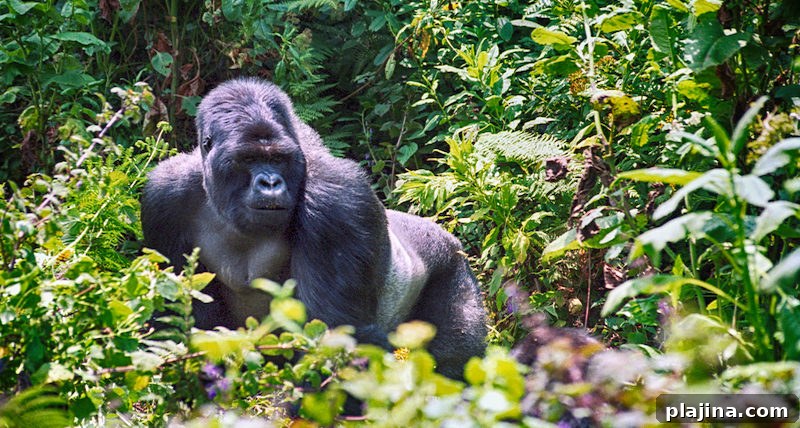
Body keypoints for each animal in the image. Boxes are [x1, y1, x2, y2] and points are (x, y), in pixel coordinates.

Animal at [140, 77, 486, 378]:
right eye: (248, 158)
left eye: (279, 159)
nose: (270, 183)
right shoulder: (163, 197)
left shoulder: (336, 200)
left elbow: (333, 339)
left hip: (453, 265)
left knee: (454, 363)